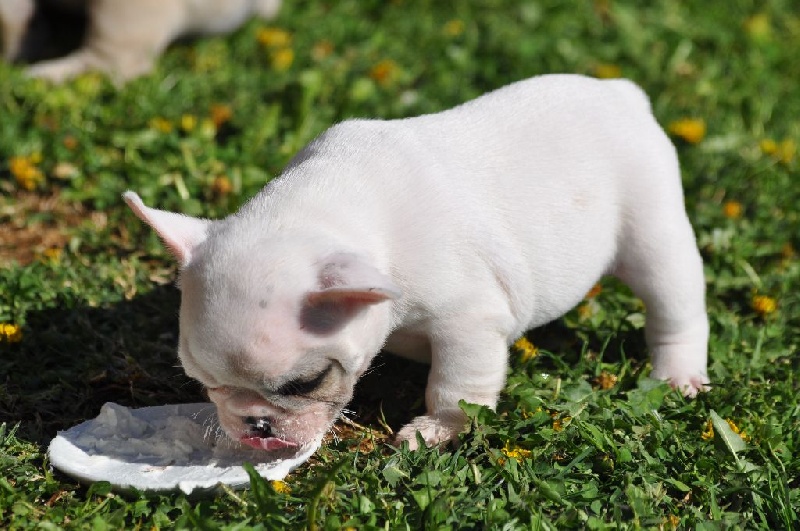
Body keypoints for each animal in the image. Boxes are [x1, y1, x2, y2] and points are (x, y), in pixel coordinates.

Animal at [125, 74, 710, 453]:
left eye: (305, 384)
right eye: (201, 381)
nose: (254, 425)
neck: (325, 211)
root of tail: (621, 94)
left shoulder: (469, 321)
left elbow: (456, 386)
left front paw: (437, 430)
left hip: (653, 231)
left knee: (675, 305)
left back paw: (678, 374)